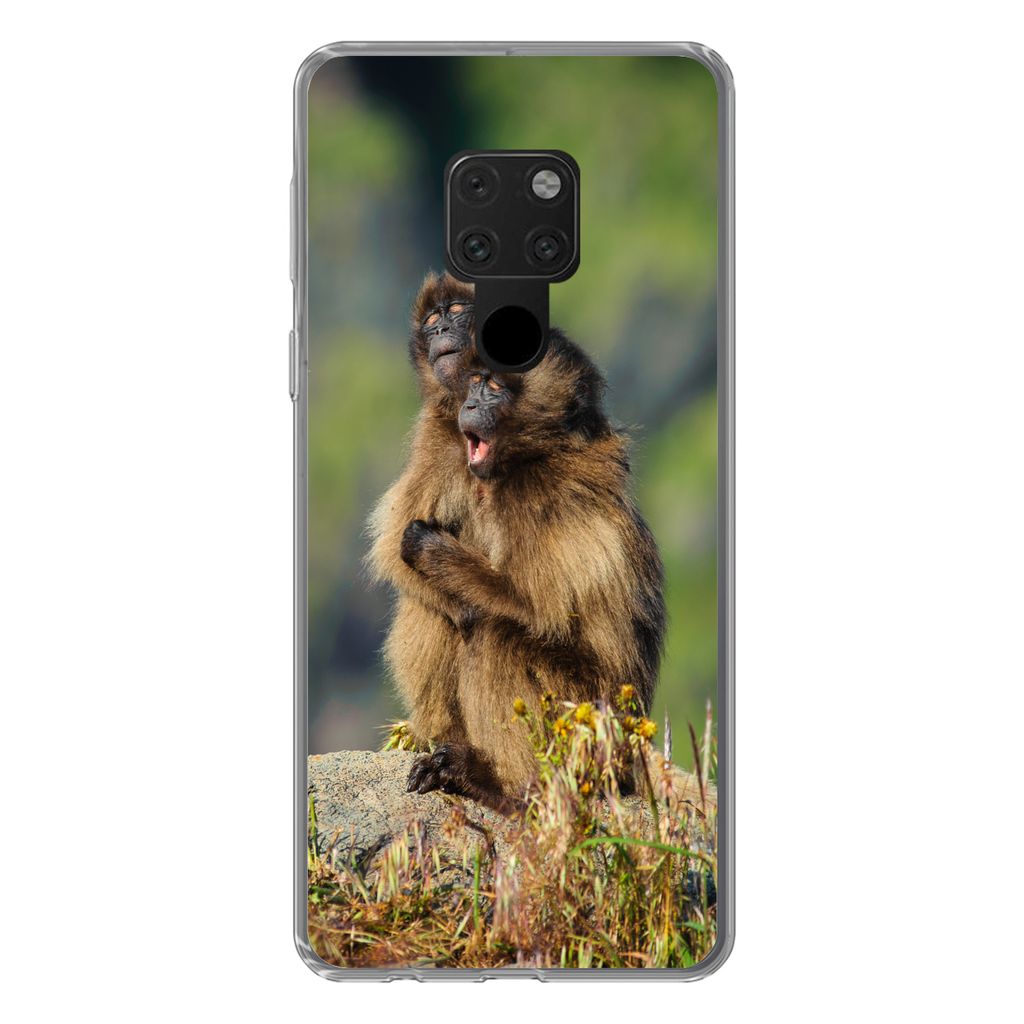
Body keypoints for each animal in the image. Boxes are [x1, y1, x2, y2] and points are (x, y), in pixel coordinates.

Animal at [399, 329, 666, 809]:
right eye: (476, 381)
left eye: (495, 386)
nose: (468, 405)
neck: (534, 455)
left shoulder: (543, 502)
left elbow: (539, 612)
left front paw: (429, 548)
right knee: (439, 607)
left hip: (585, 717)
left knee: (494, 633)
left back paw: (503, 784)